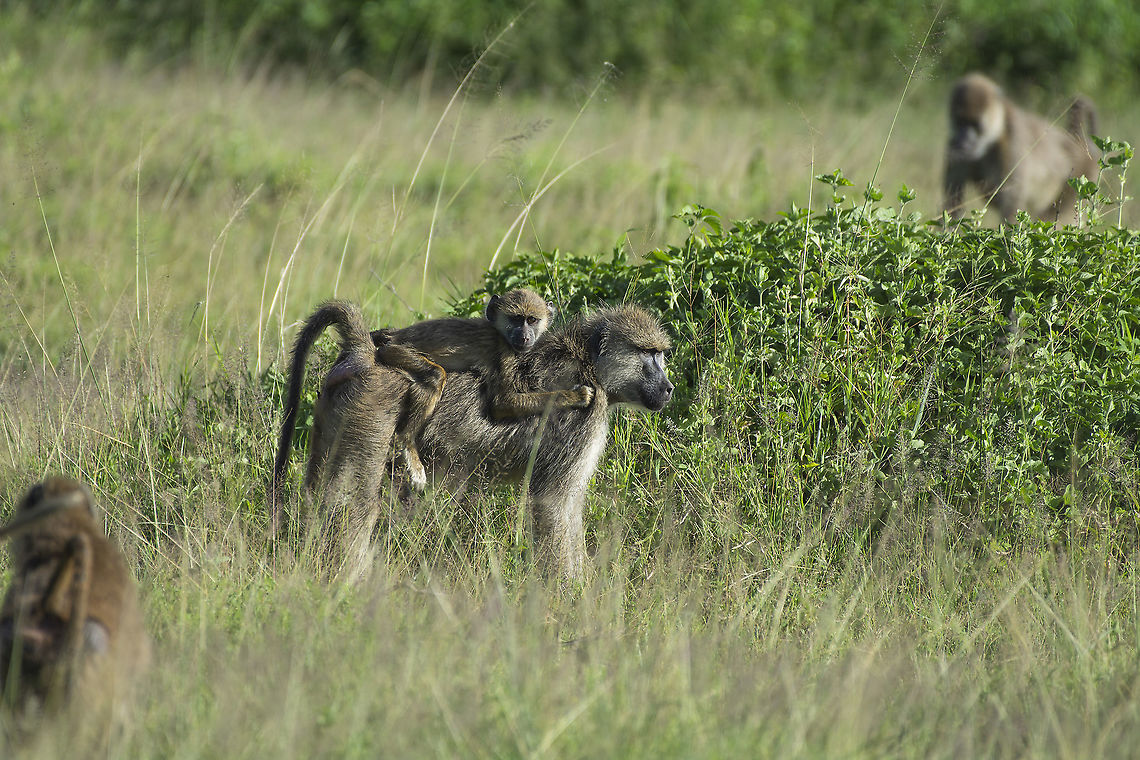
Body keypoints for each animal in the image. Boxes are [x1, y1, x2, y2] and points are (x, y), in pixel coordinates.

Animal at [363, 288, 594, 490]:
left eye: (532, 320)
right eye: (516, 319)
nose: (525, 337)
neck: (499, 333)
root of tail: (393, 338)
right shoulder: (504, 352)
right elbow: (502, 404)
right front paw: (575, 395)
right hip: (395, 351)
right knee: (435, 377)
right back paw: (409, 448)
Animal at [942, 73, 1099, 225]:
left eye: (975, 124)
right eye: (960, 121)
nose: (964, 141)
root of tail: (1077, 140)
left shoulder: (1012, 143)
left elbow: (1011, 205)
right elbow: (953, 201)